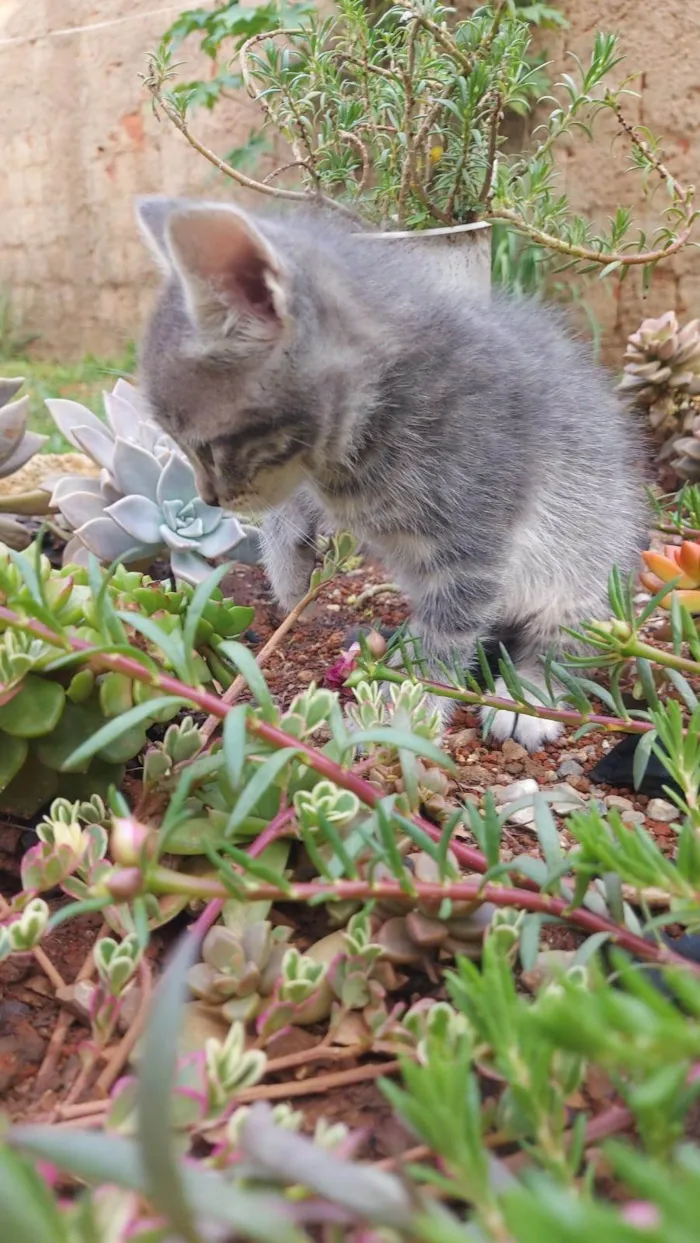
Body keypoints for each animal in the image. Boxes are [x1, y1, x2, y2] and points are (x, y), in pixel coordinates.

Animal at [135, 196, 646, 745]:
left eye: (204, 447)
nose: (209, 498)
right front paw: (289, 571)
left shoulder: (475, 546)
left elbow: (448, 634)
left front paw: (408, 713)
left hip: (589, 575)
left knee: (572, 648)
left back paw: (529, 693)